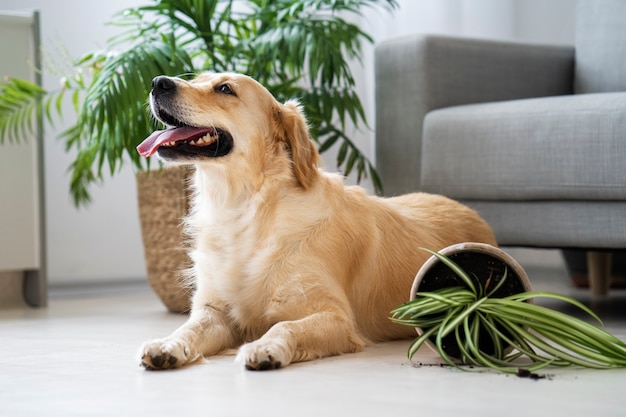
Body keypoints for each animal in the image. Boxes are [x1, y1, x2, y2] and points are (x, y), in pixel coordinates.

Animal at [138, 73, 498, 368]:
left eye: (225, 89)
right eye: (195, 78)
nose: (157, 82)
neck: (245, 209)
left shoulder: (336, 317)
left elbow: (284, 325)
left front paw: (265, 348)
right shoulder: (214, 311)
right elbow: (190, 327)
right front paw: (167, 345)